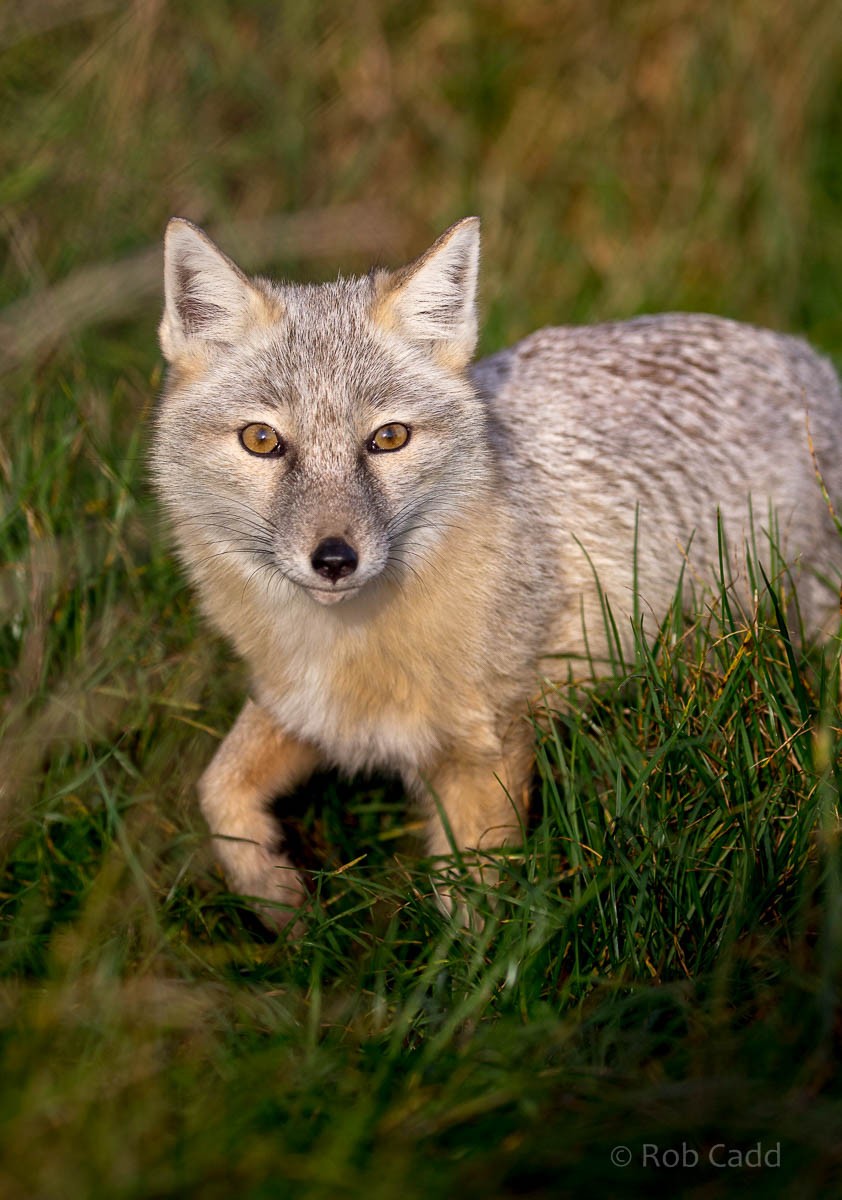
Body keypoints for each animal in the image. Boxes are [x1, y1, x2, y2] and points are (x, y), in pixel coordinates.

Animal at [152, 215, 842, 927]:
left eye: (388, 439)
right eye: (262, 440)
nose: (336, 560)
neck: (341, 647)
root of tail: (801, 354)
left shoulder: (488, 748)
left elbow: (478, 923)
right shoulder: (301, 708)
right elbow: (216, 787)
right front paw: (276, 898)